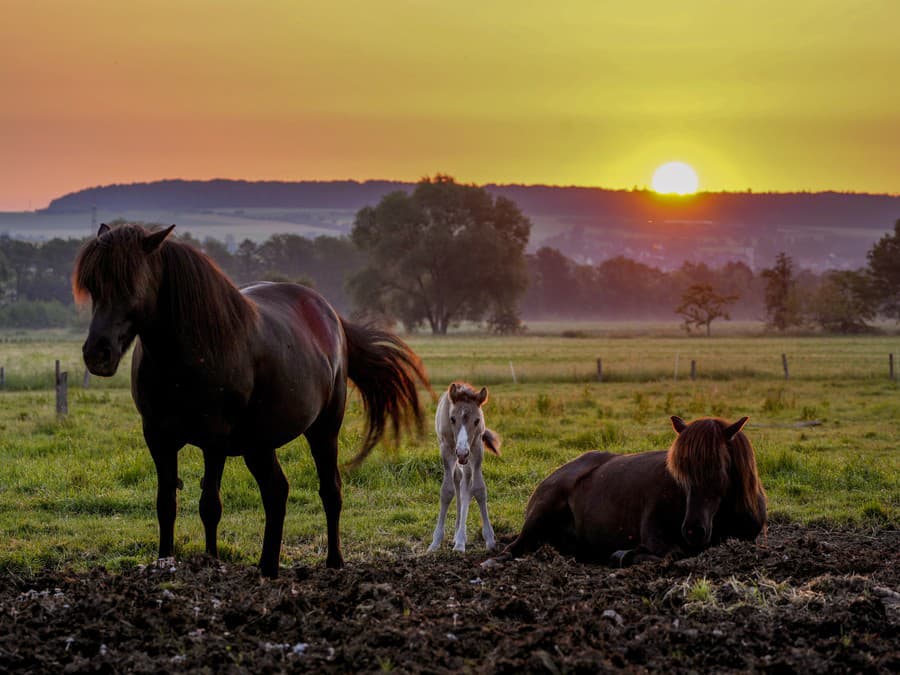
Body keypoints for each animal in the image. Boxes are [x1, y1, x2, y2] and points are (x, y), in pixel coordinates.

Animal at [72, 224, 430, 580]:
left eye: (130, 283)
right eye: (94, 286)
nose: (97, 354)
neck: (190, 352)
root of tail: (330, 315)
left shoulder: (214, 438)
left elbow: (210, 505)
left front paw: (212, 561)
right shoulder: (158, 437)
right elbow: (166, 504)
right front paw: (165, 561)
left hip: (323, 430)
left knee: (330, 490)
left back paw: (333, 562)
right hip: (259, 445)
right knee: (277, 492)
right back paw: (267, 566)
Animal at [428, 382, 502, 552]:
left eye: (477, 420)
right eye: (452, 419)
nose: (462, 452)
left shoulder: (476, 448)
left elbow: (479, 490)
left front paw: (490, 539)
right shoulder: (447, 449)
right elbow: (447, 491)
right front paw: (435, 542)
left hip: (469, 459)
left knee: (466, 486)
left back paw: (461, 539)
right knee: (458, 482)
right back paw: (457, 536)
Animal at [486, 414, 768, 568]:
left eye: (719, 467)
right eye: (681, 472)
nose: (693, 530)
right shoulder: (657, 537)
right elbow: (671, 554)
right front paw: (624, 554)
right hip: (541, 512)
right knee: (513, 548)